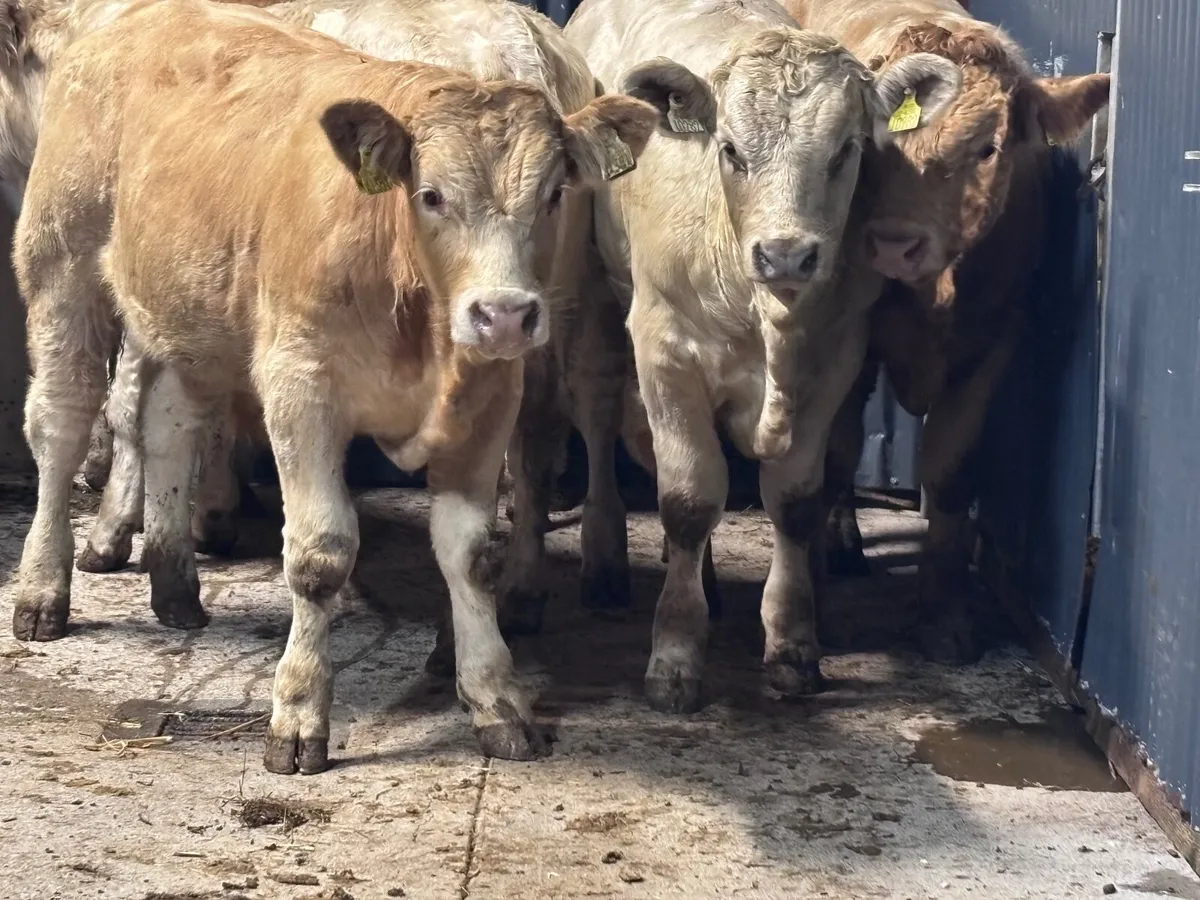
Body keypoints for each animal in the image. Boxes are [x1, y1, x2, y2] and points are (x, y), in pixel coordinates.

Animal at [11, 0, 657, 773]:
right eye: (431, 195)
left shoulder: (487, 395)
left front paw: (496, 698)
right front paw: (298, 713)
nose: (504, 313)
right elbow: (319, 553)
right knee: (63, 421)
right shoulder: (302, 387)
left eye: (555, 192)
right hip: (63, 265)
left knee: (168, 419)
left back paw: (174, 581)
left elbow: (472, 554)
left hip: (188, 306)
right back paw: (42, 590)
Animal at [565, 0, 960, 713]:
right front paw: (675, 652)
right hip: (598, 297)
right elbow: (689, 499)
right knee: (601, 417)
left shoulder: (836, 358)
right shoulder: (665, 352)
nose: (785, 254)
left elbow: (796, 500)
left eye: (846, 151)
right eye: (730, 151)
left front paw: (793, 643)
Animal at [784, 0, 1110, 662]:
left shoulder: (993, 346)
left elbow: (951, 470)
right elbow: (835, 454)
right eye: (864, 150)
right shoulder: (846, 340)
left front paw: (943, 618)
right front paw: (818, 609)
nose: (893, 245)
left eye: (988, 149)